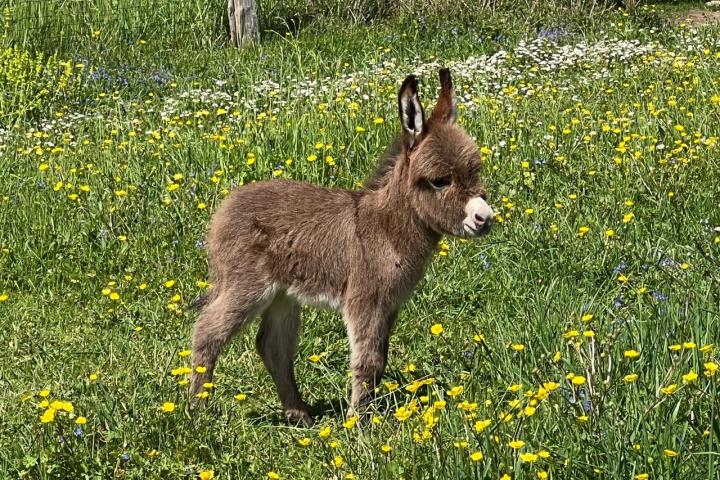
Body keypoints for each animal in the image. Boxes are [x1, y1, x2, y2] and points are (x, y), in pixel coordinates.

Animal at [190, 69, 496, 426]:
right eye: (439, 181)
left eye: (475, 172)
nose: (484, 219)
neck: (385, 229)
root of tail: (224, 209)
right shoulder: (365, 299)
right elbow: (368, 361)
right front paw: (359, 424)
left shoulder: (391, 304)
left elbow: (380, 360)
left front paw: (363, 416)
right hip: (248, 285)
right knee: (207, 332)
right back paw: (197, 411)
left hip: (282, 294)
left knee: (273, 348)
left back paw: (300, 416)